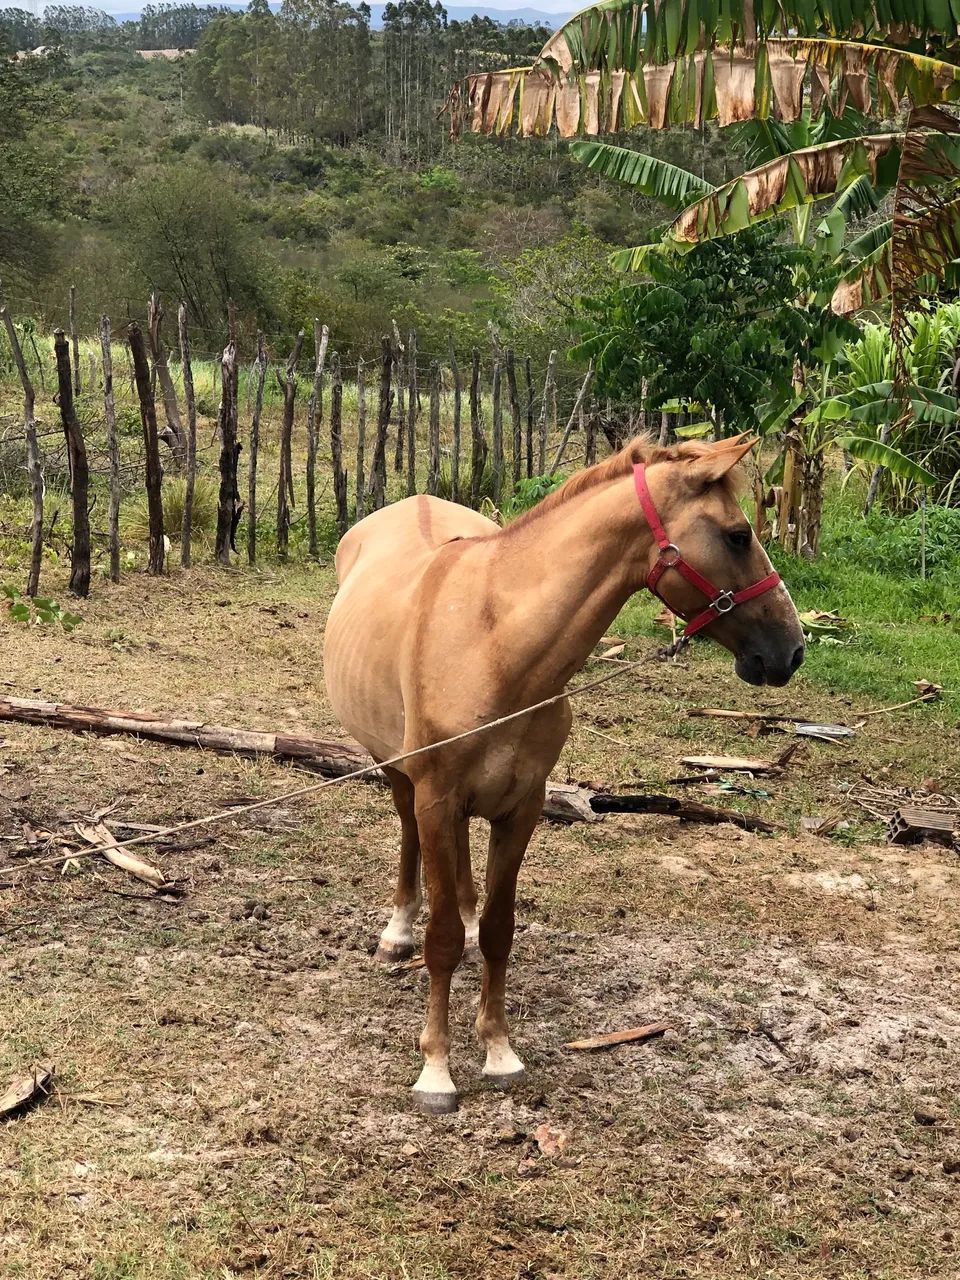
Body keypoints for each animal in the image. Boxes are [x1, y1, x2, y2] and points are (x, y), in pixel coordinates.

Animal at [323, 434, 805, 1113]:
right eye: (738, 535)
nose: (791, 650)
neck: (491, 644)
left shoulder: (522, 805)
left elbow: (498, 929)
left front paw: (498, 1050)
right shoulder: (437, 797)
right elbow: (441, 939)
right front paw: (437, 1069)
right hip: (398, 773)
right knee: (409, 836)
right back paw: (397, 931)